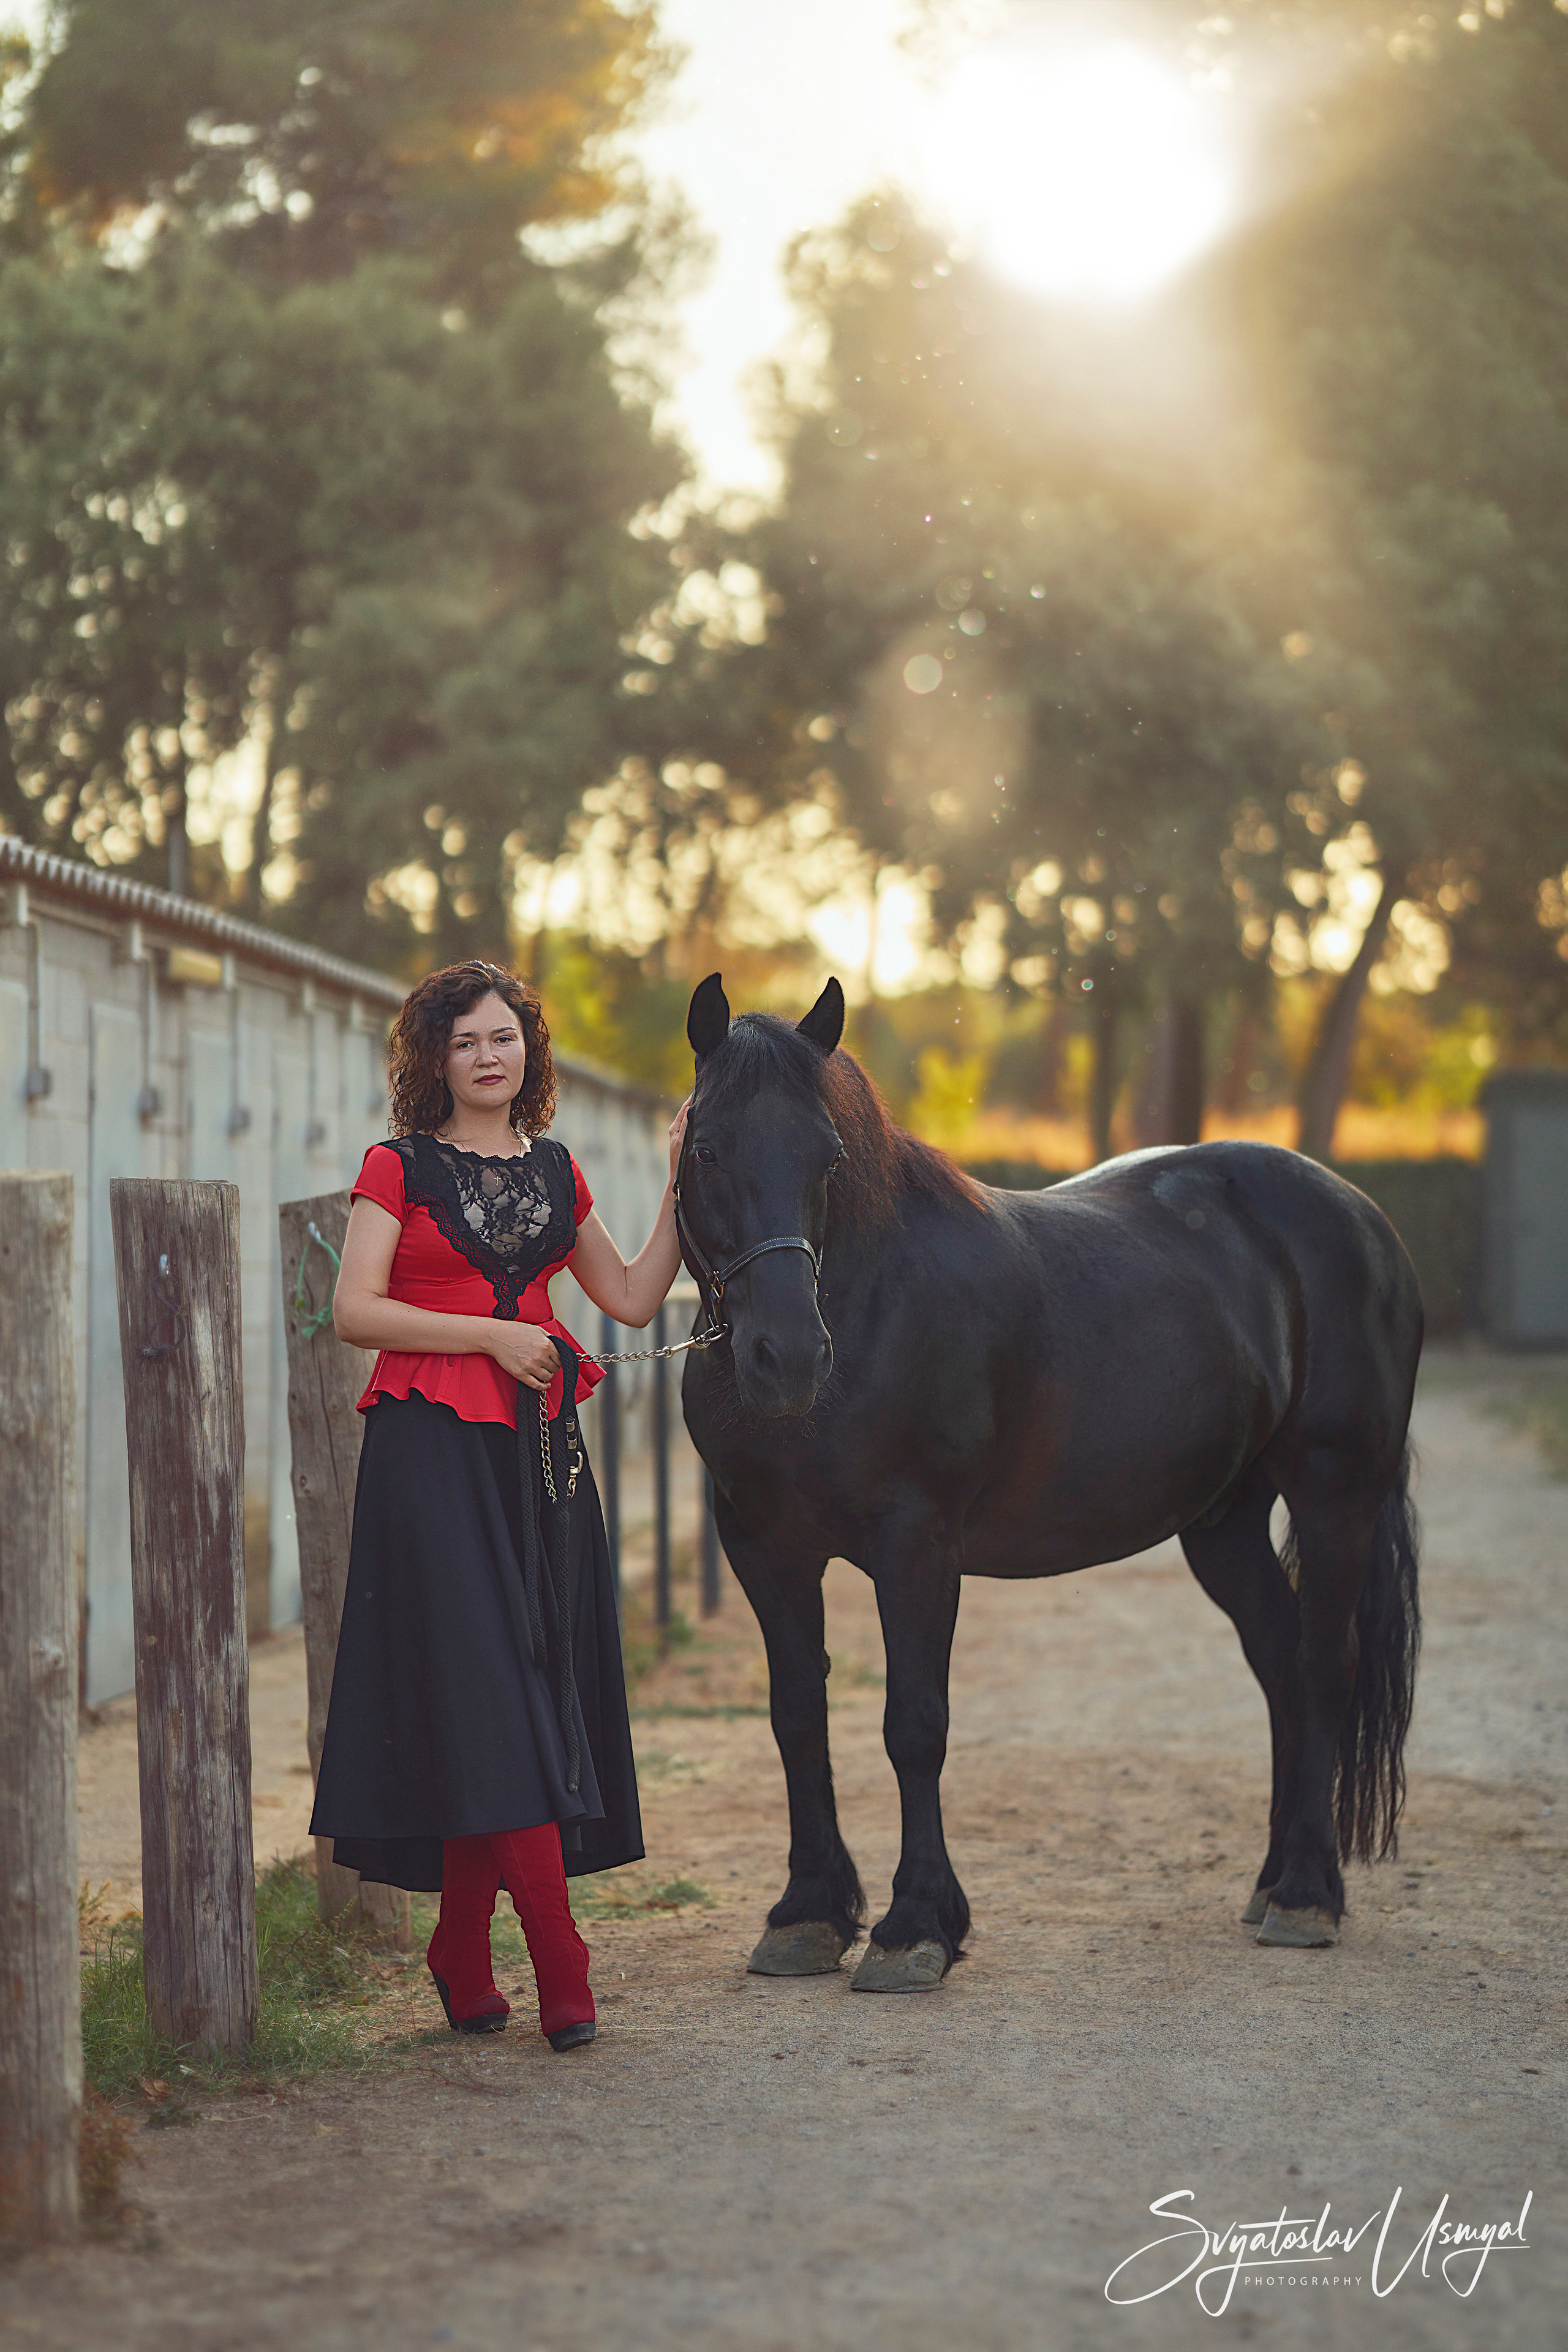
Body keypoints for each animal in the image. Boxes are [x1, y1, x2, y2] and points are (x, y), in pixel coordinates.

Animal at [675, 973, 1422, 1991]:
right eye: (706, 1147)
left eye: (829, 1157)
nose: (788, 1358)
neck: (869, 1301)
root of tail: (1366, 1219)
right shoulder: (764, 1548)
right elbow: (797, 1718)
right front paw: (808, 1915)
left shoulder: (916, 1547)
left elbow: (914, 1724)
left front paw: (915, 1927)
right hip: (1223, 1521)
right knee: (1278, 1662)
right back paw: (1273, 1881)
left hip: (1335, 1496)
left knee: (1322, 1664)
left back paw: (1309, 1893)